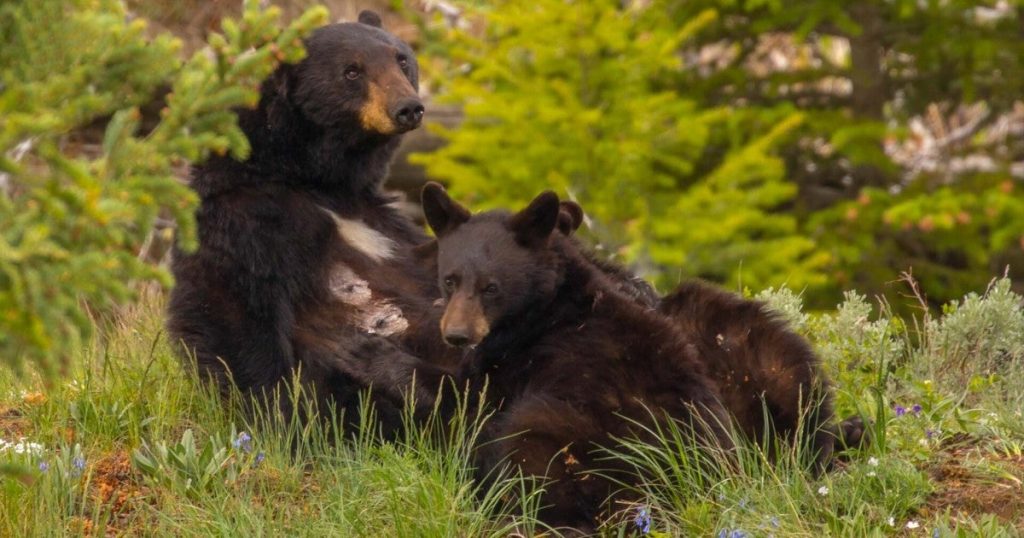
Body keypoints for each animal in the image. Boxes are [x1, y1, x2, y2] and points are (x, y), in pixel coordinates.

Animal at [167, 12, 458, 435]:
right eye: (352, 71)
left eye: (402, 59)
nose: (408, 108)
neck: (314, 178)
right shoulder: (246, 222)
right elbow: (234, 316)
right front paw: (280, 417)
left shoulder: (385, 223)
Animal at [421, 183, 735, 532]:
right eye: (450, 279)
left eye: (491, 287)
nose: (457, 334)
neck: (544, 308)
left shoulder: (513, 367)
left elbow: (472, 407)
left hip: (569, 436)